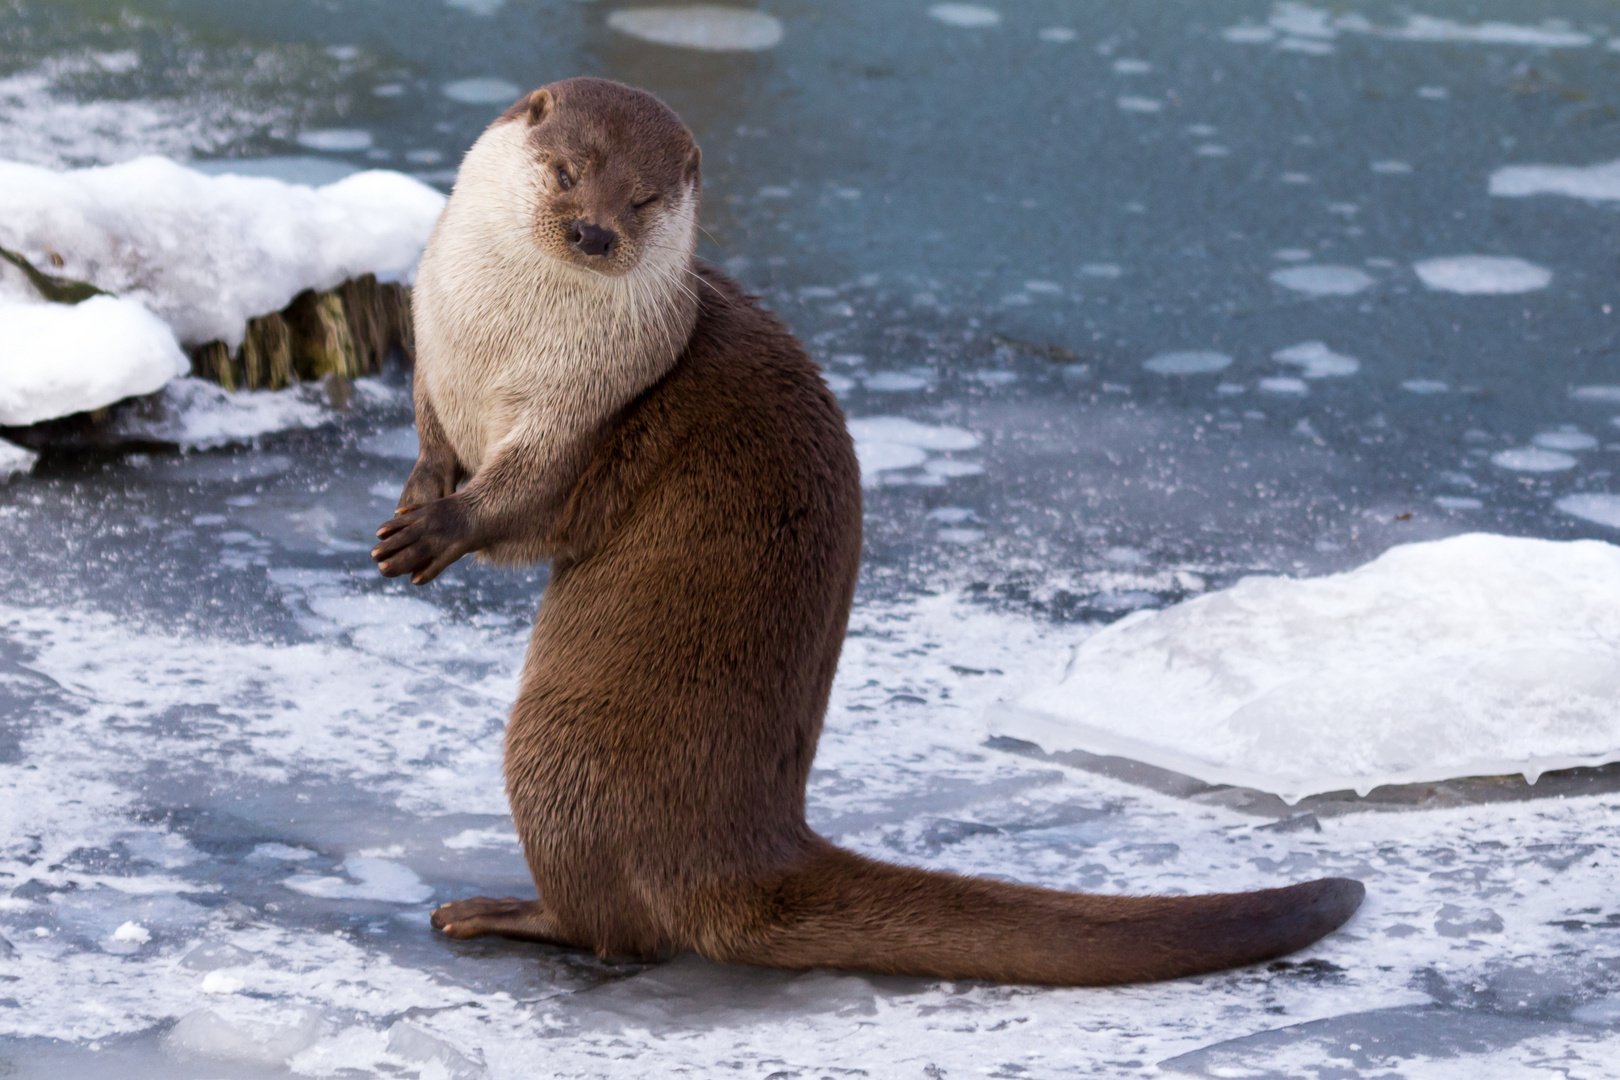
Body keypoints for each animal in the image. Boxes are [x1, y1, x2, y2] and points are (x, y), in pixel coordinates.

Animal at [372, 78, 1360, 990]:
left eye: (644, 200)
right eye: (569, 172)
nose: (594, 233)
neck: (493, 349)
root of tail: (755, 849)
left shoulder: (584, 417)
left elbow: (525, 507)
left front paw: (441, 528)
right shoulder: (431, 351)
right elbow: (428, 436)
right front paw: (413, 496)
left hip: (560, 751)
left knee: (617, 933)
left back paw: (500, 911)